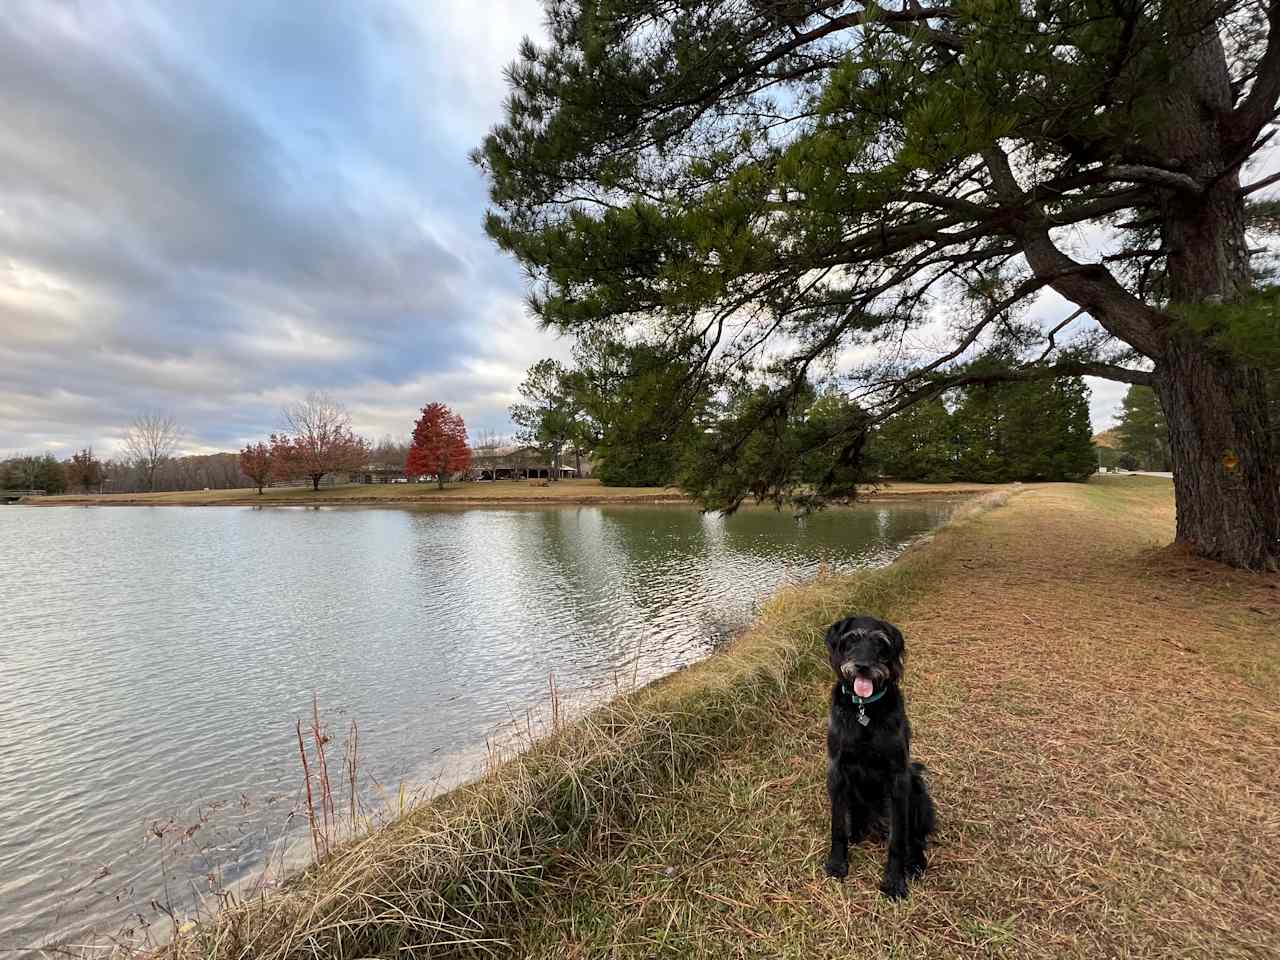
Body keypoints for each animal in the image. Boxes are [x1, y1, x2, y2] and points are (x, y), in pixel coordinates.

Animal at [824, 616, 936, 901]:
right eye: (852, 639)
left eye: (880, 643)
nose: (863, 667)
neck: (865, 710)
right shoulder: (837, 772)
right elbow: (837, 827)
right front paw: (837, 863)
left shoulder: (898, 778)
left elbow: (898, 841)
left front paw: (895, 882)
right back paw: (856, 831)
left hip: (916, 789)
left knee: (914, 837)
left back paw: (915, 862)